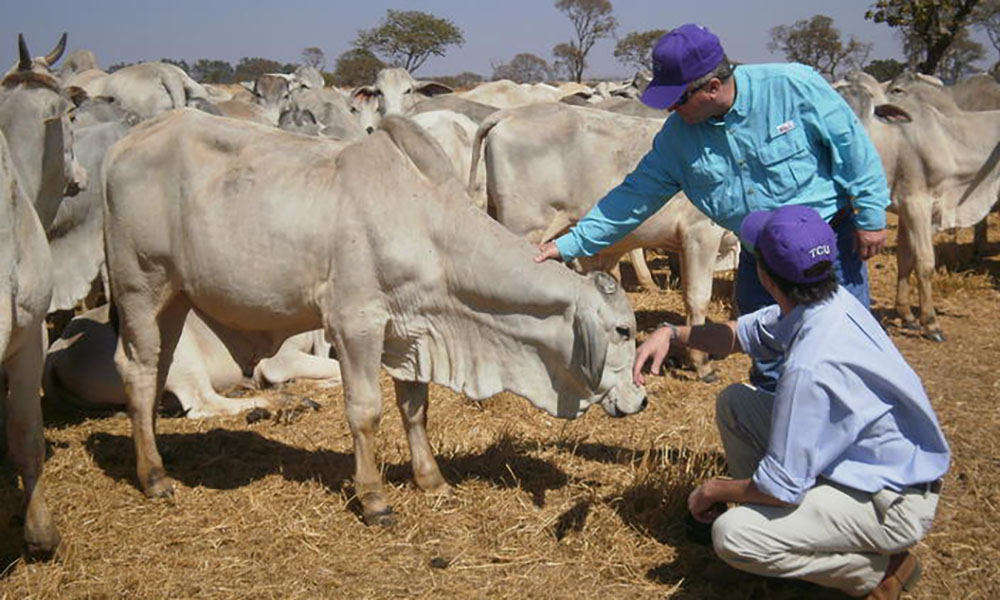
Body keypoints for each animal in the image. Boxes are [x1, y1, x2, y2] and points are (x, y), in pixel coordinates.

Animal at [102, 110, 646, 525]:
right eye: (623, 330)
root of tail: (123, 143)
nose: (640, 400)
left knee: (157, 368)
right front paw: (374, 498)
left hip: (175, 297)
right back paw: (154, 477)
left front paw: (432, 480)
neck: (428, 227)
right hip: (140, 287)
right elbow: (366, 411)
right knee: (137, 368)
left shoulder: (413, 333)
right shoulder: (355, 324)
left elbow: (415, 409)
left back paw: (158, 456)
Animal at [837, 77, 1000, 342]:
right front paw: (931, 323)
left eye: (869, 110)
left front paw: (907, 316)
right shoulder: (916, 205)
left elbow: (907, 259)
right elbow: (924, 261)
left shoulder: (908, 207)